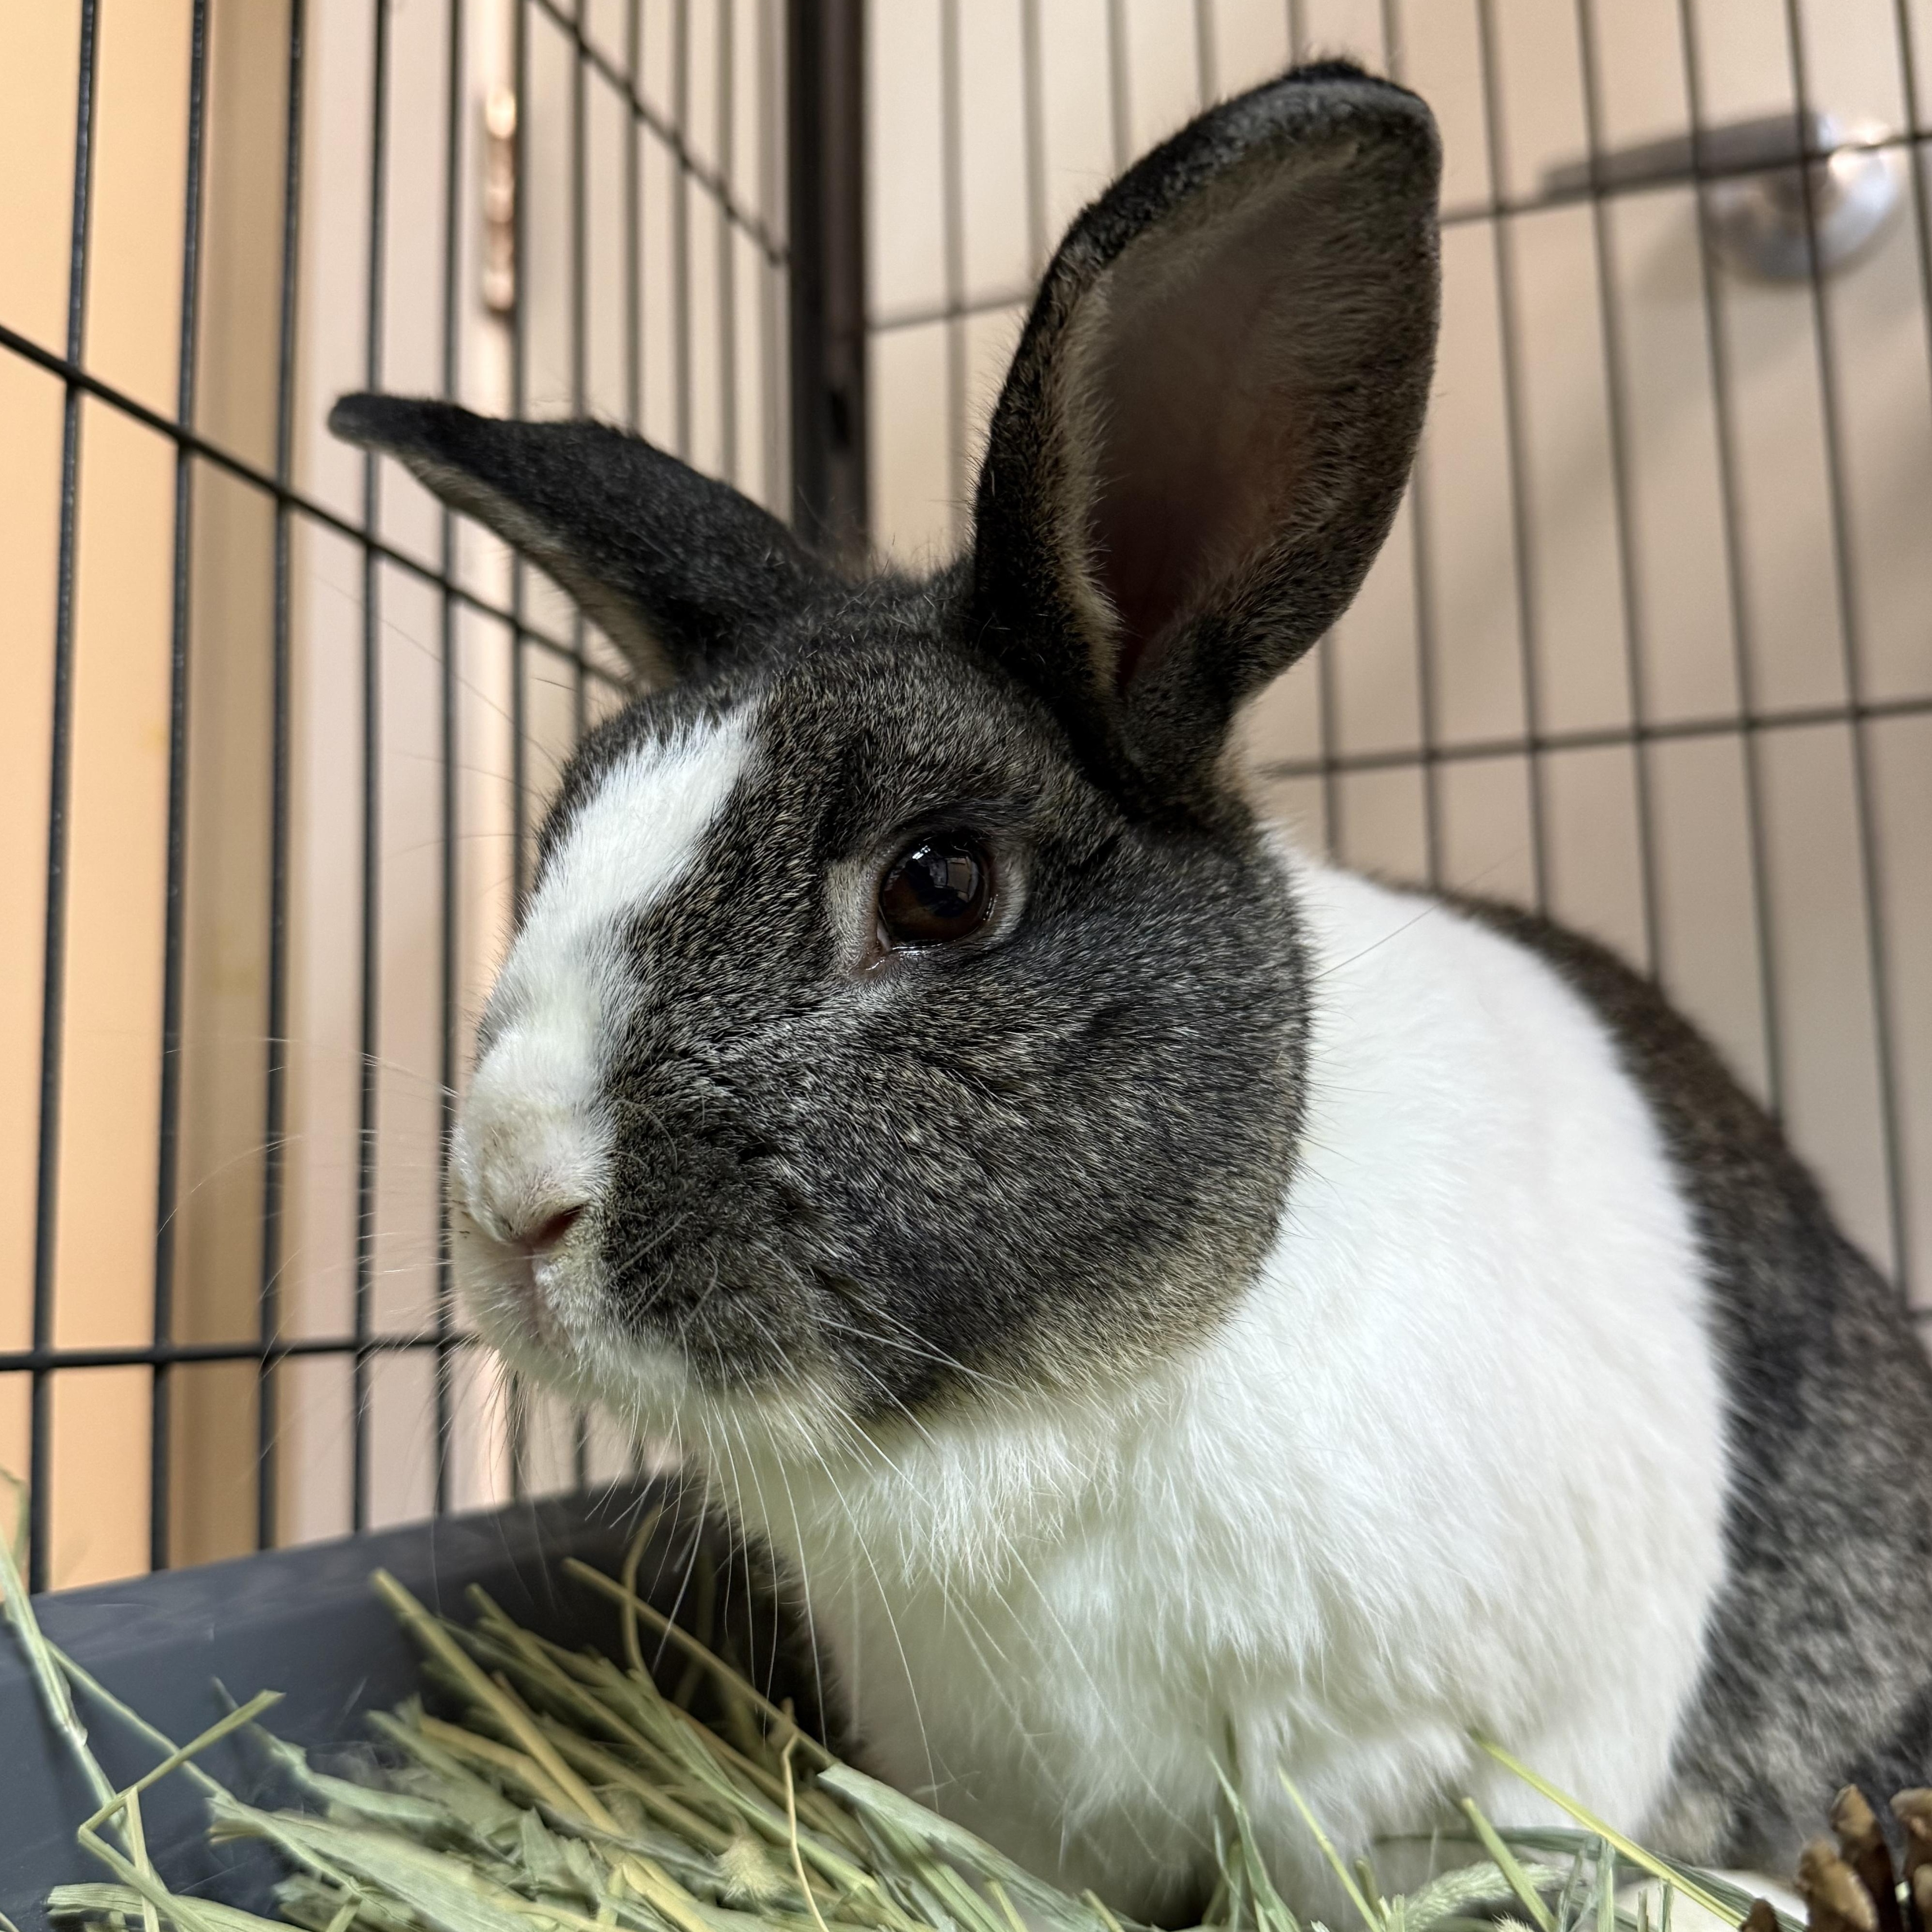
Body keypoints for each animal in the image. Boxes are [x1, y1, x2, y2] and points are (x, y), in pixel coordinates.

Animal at [329, 61, 1932, 1928]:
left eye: (938, 886)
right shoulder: (1002, 1801)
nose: (511, 1197)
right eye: (559, 829)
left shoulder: (1383, 1765)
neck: (1063, 1409)